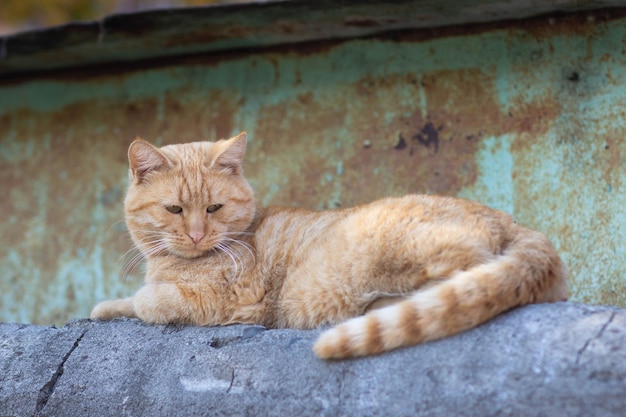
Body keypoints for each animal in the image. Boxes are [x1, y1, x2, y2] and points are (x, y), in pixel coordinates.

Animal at [91, 132, 564, 358]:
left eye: (213, 208)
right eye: (174, 209)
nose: (195, 234)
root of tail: (517, 223)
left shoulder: (225, 301)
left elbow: (149, 301)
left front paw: (135, 301)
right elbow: (126, 300)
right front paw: (105, 307)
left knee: (467, 275)